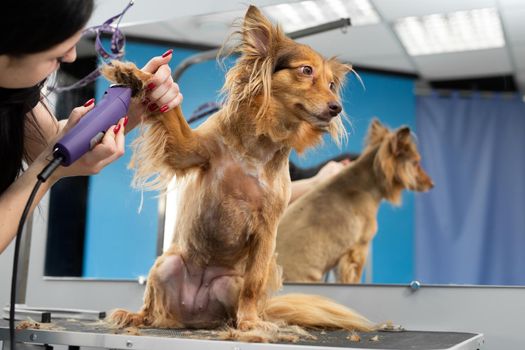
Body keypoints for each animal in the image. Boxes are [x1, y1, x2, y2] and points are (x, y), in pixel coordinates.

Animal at [99, 4, 376, 334]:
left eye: (332, 85)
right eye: (306, 71)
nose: (337, 107)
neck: (255, 150)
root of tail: (193, 313)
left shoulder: (267, 230)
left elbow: (254, 283)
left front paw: (251, 323)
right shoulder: (185, 148)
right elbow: (172, 110)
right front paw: (134, 75)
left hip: (230, 282)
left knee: (235, 302)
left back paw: (239, 321)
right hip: (165, 265)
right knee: (151, 309)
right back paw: (135, 316)